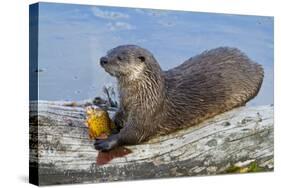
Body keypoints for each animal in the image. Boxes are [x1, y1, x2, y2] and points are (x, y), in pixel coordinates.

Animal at [94, 44, 262, 151]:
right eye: (109, 51)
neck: (146, 93)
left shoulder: (148, 112)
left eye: (120, 57)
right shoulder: (124, 105)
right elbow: (118, 119)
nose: (103, 59)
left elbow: (133, 133)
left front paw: (107, 142)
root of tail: (253, 62)